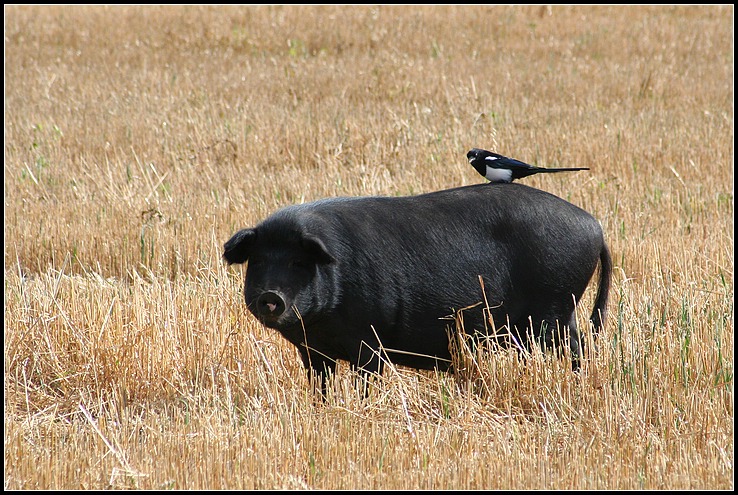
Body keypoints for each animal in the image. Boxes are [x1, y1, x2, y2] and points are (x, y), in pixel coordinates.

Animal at [223, 182, 608, 396]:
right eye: (258, 261)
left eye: (299, 263)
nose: (271, 295)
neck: (322, 324)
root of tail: (595, 227)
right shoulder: (313, 351)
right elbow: (320, 384)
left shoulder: (369, 342)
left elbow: (367, 381)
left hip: (554, 312)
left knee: (577, 348)